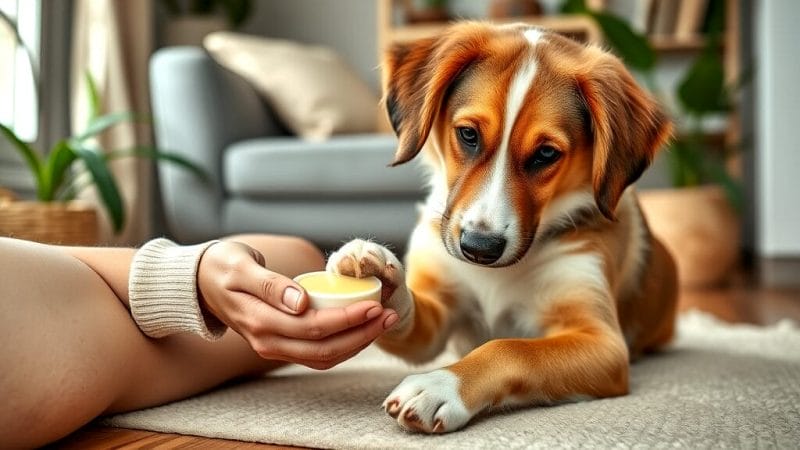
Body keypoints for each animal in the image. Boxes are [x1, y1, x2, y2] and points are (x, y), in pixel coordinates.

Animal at [328, 21, 680, 432]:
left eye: (546, 153)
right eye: (468, 134)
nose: (479, 248)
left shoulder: (603, 342)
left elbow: (510, 349)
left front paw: (441, 385)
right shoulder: (439, 313)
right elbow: (410, 315)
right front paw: (380, 279)